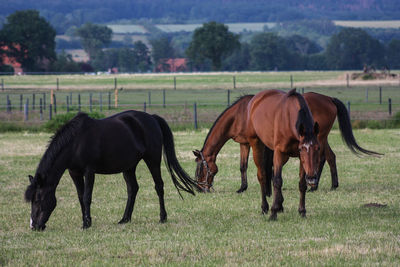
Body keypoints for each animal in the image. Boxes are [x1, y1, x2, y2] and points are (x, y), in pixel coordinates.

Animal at [24, 110, 196, 230]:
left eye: (38, 199)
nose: (34, 226)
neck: (75, 142)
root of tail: (152, 118)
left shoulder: (89, 171)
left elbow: (87, 197)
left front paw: (87, 223)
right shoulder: (74, 172)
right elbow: (80, 197)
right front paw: (85, 220)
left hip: (152, 160)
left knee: (159, 186)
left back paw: (162, 217)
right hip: (129, 167)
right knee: (133, 189)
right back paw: (124, 219)